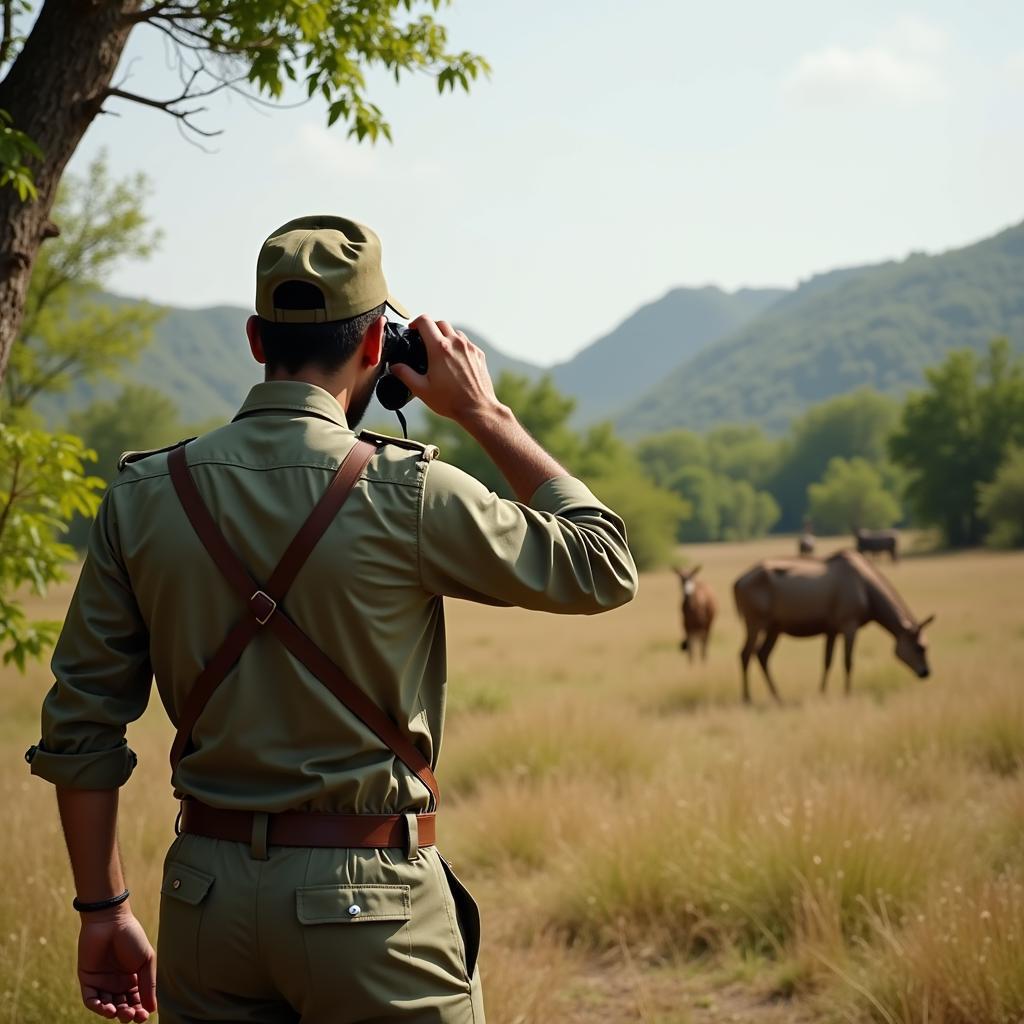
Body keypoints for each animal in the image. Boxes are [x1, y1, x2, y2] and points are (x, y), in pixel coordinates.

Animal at [733, 552, 933, 704]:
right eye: (920, 647)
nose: (926, 672)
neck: (868, 594)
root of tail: (738, 581)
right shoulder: (849, 625)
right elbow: (848, 661)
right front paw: (847, 693)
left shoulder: (831, 630)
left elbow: (827, 661)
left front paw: (822, 692)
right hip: (755, 623)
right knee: (745, 654)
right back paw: (747, 698)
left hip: (775, 628)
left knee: (762, 655)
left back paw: (777, 696)